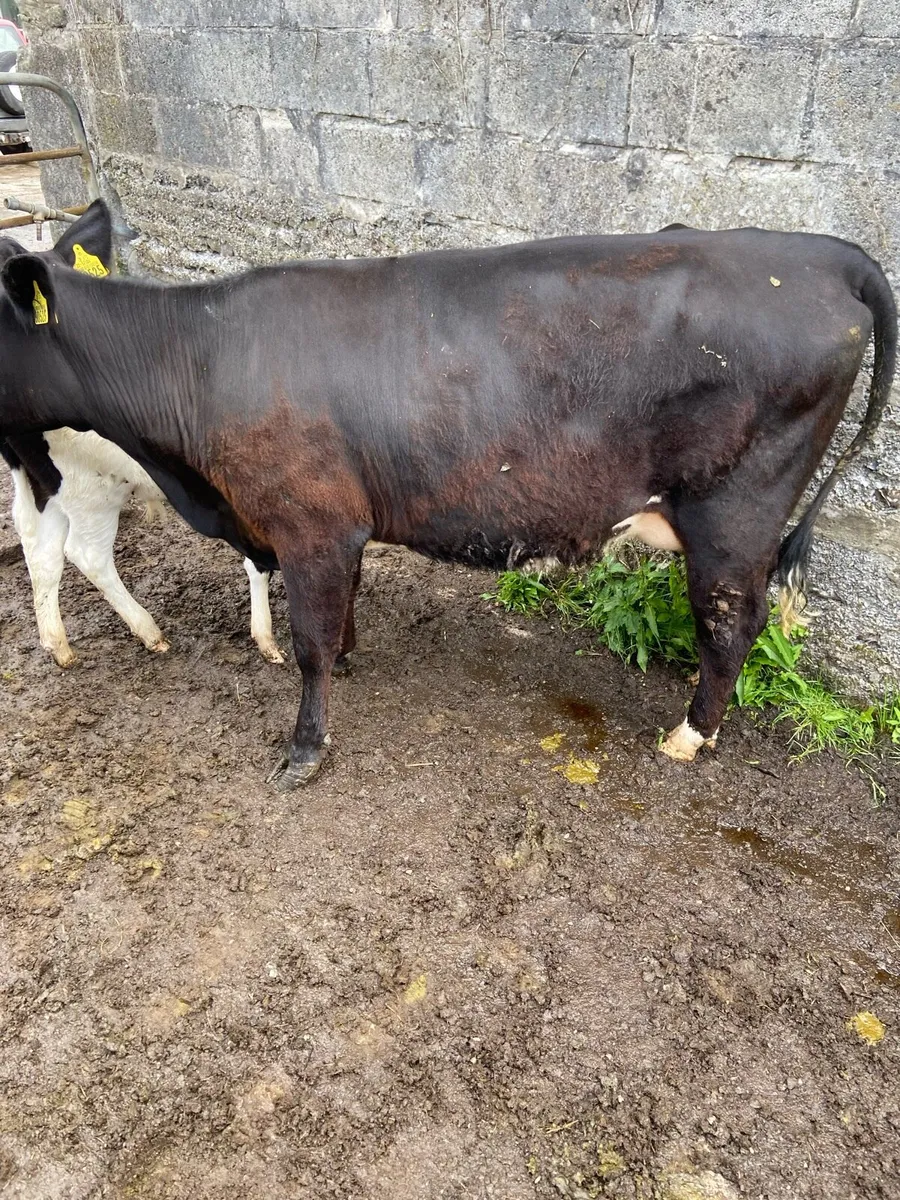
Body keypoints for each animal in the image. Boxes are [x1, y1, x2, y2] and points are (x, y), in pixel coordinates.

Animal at [0, 206, 281, 667]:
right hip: (88, 487)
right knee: (85, 552)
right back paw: (150, 633)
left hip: (45, 480)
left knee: (38, 543)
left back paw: (58, 645)